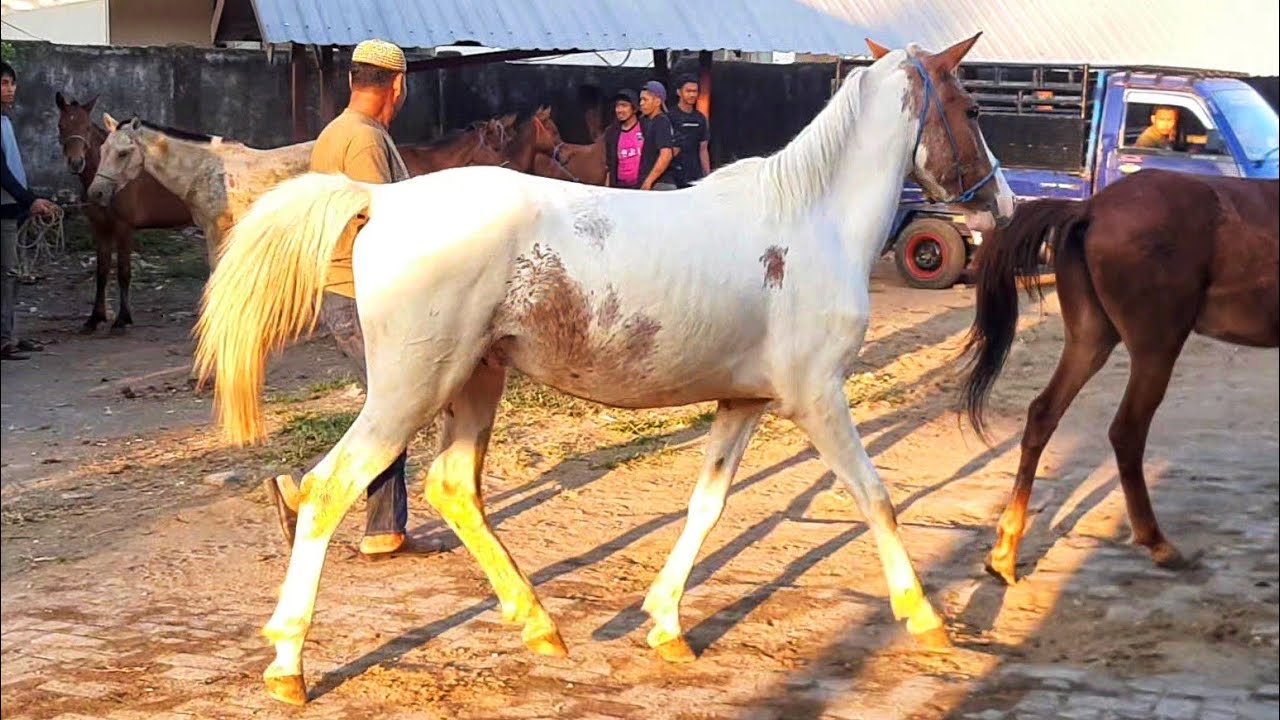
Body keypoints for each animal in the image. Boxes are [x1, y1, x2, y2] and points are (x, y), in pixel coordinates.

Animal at [54, 93, 193, 332]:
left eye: (86, 127)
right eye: (61, 125)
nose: (76, 162)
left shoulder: (124, 227)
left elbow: (123, 272)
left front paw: (123, 318)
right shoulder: (100, 228)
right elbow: (102, 270)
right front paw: (95, 318)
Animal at [192, 34, 1014, 706]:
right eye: (972, 106)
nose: (1003, 201)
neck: (811, 221)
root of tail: (380, 200)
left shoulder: (742, 403)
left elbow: (707, 507)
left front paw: (666, 625)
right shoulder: (818, 399)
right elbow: (876, 498)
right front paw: (926, 619)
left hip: (475, 381)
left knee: (453, 488)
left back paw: (538, 625)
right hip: (409, 390)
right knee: (328, 490)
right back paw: (288, 667)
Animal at [958, 168, 1279, 586]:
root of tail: (1090, 208)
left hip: (1090, 339)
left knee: (1043, 413)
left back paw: (1004, 551)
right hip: (1155, 348)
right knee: (1127, 431)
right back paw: (1157, 542)